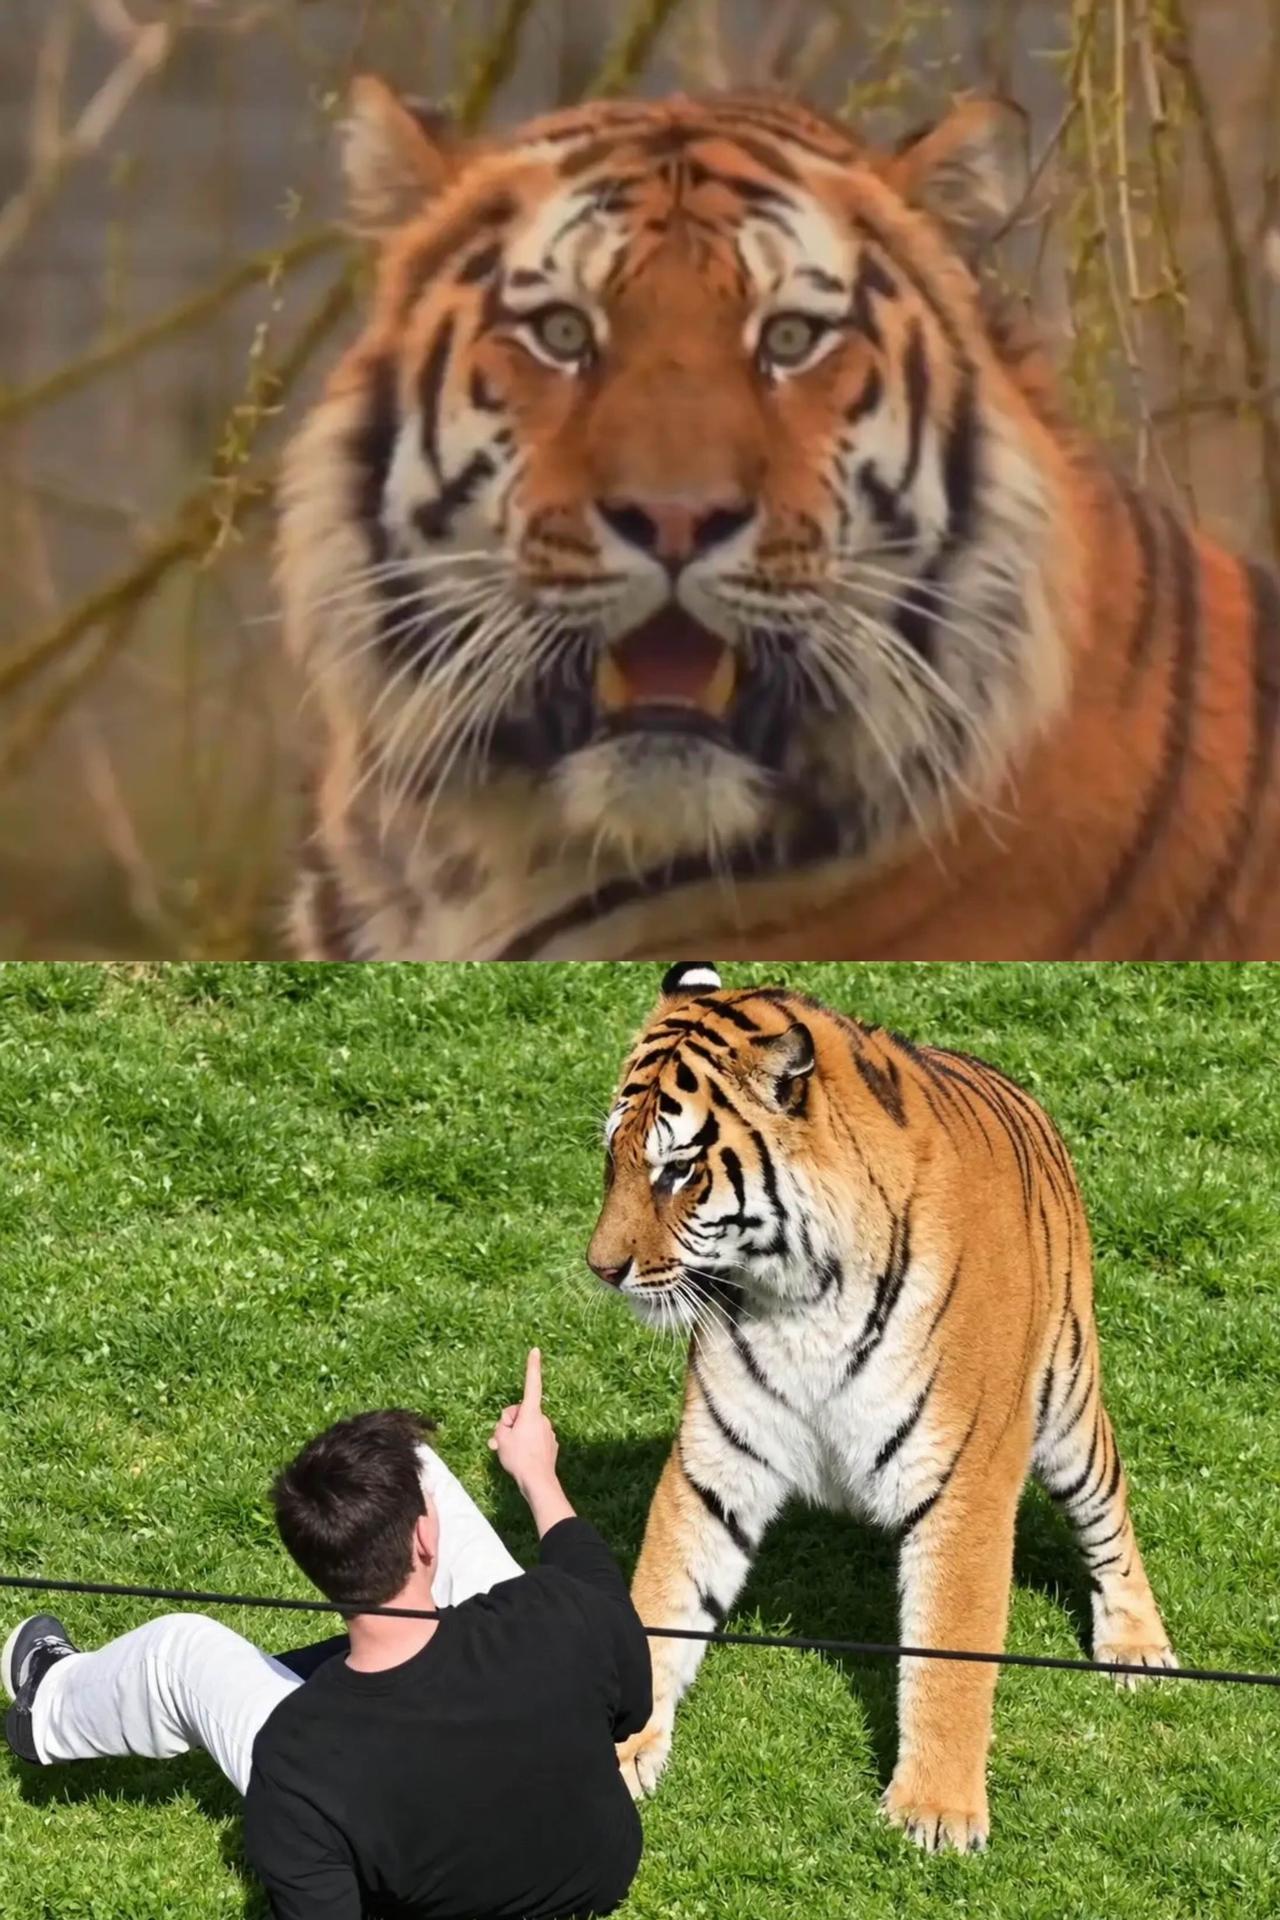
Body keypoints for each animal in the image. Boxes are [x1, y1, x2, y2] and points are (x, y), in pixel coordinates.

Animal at [586, 961, 1175, 1852]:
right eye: (613, 1159)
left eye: (678, 1172)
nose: (600, 1268)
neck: (799, 1295)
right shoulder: (716, 1462)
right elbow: (664, 1599)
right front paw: (617, 1752)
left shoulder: (964, 1479)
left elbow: (950, 1648)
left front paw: (935, 1811)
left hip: (1069, 1403)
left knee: (1109, 1517)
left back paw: (1138, 1647)